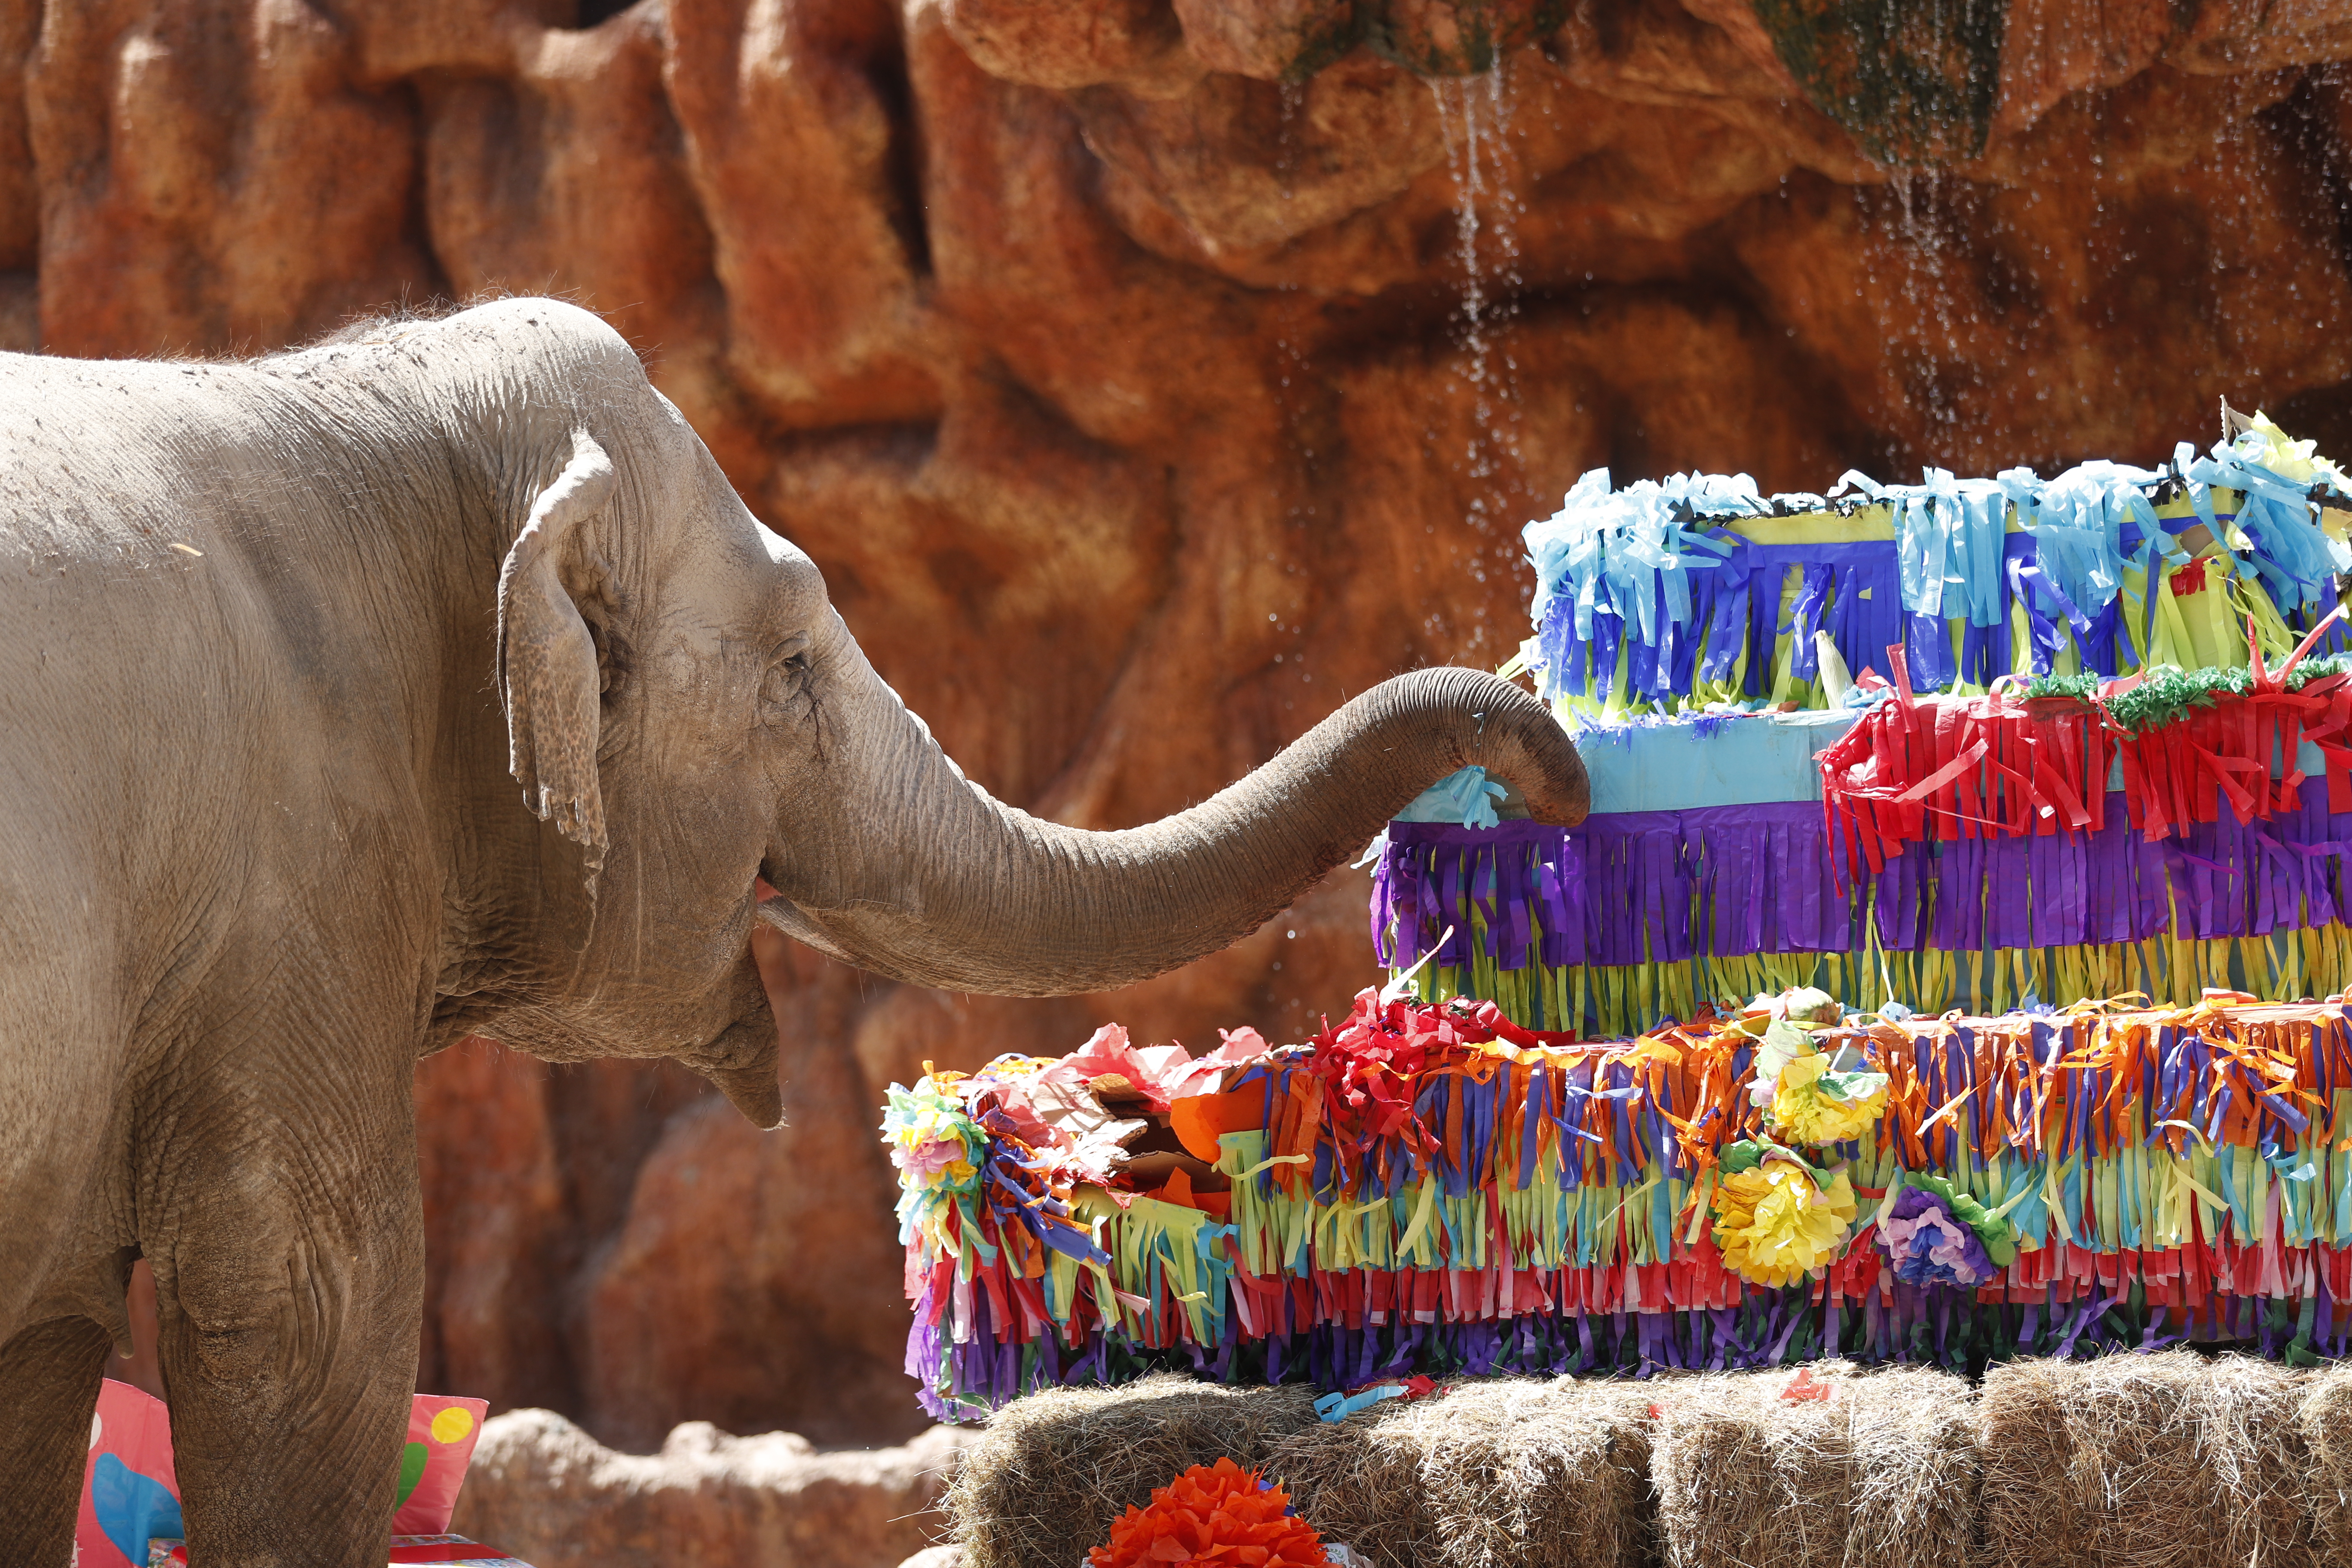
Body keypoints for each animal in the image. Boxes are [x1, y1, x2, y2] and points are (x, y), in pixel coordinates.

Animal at [0, 297, 1580, 1568]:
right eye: (796, 668)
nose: (1544, 757)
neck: (357, 405)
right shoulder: (287, 885)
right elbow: (307, 1322)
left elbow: (50, 1350)